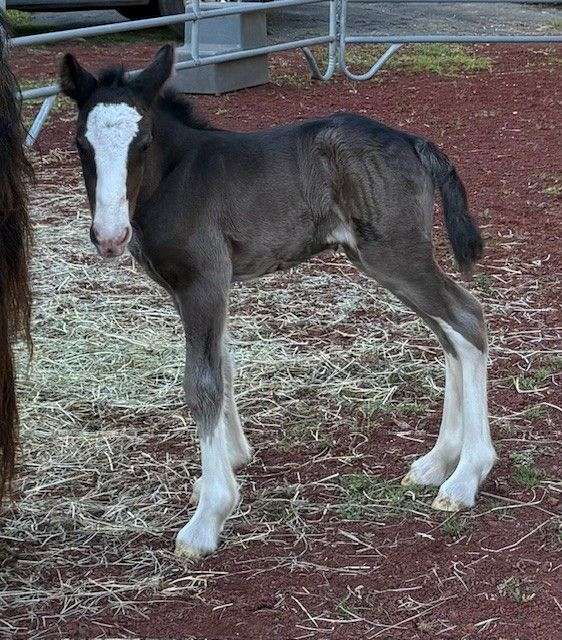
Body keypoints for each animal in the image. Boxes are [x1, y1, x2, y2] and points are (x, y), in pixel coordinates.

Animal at [60, 44, 497, 558]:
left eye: (143, 142)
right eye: (81, 144)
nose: (109, 236)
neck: (175, 178)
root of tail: (413, 141)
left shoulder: (202, 282)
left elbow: (202, 383)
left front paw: (208, 516)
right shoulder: (204, 288)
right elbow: (224, 365)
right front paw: (231, 461)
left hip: (395, 254)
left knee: (467, 319)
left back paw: (465, 477)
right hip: (385, 260)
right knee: (449, 336)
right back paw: (436, 463)